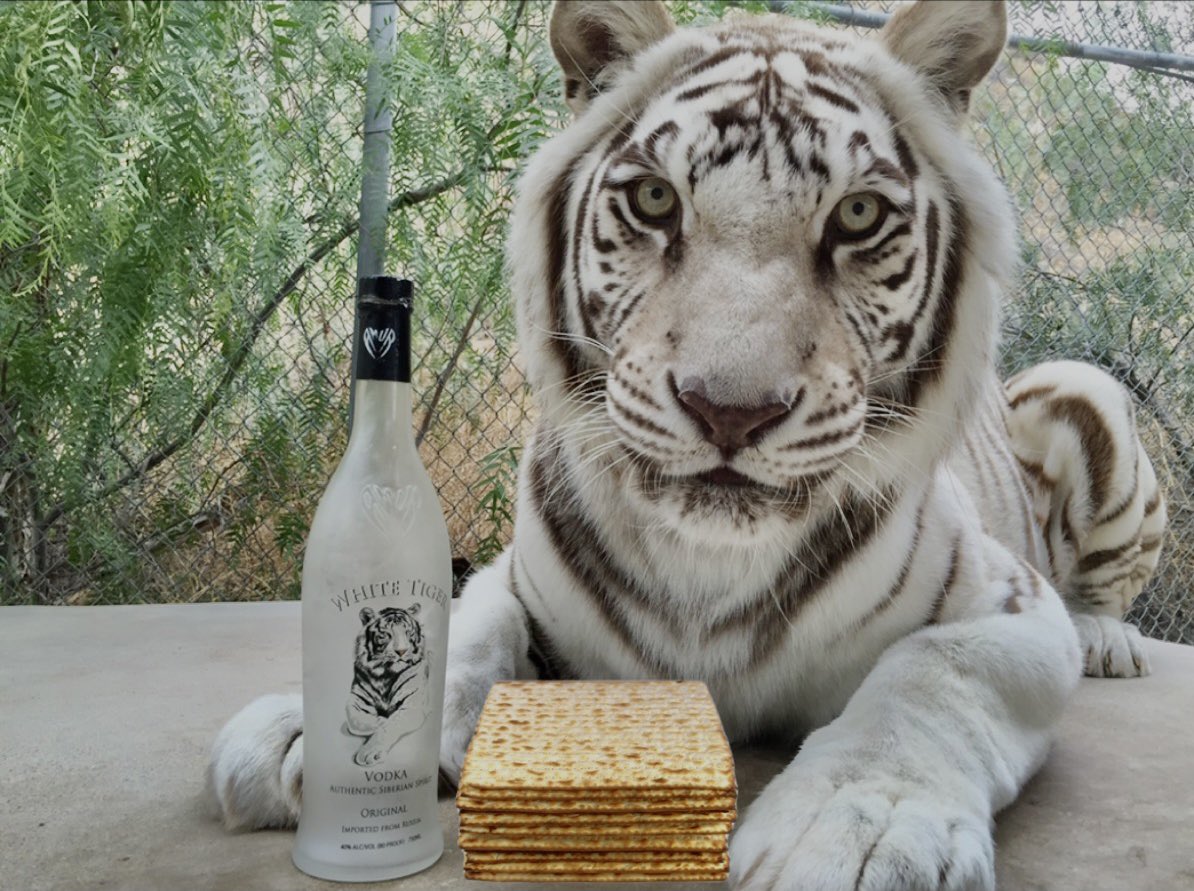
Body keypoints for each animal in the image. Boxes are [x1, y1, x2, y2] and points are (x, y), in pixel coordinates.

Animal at [207, 1, 1167, 887]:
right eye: (655, 199)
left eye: (858, 214)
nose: (730, 410)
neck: (705, 562)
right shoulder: (515, 574)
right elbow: (468, 623)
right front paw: (308, 733)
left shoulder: (1010, 605)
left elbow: (929, 674)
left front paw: (859, 829)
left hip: (1085, 388)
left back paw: (1109, 640)